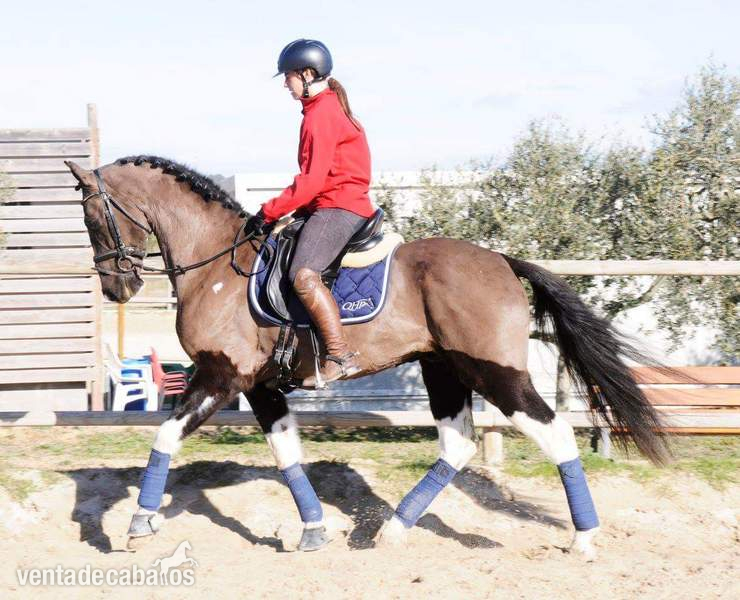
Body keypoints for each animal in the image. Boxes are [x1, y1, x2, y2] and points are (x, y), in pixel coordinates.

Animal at [65, 156, 667, 560]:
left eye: (93, 217)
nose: (117, 288)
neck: (214, 267)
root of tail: (500, 259)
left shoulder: (221, 375)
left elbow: (165, 435)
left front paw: (139, 522)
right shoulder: (260, 385)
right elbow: (286, 455)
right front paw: (312, 531)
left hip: (494, 372)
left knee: (555, 432)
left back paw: (584, 537)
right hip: (442, 367)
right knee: (457, 443)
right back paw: (392, 528)